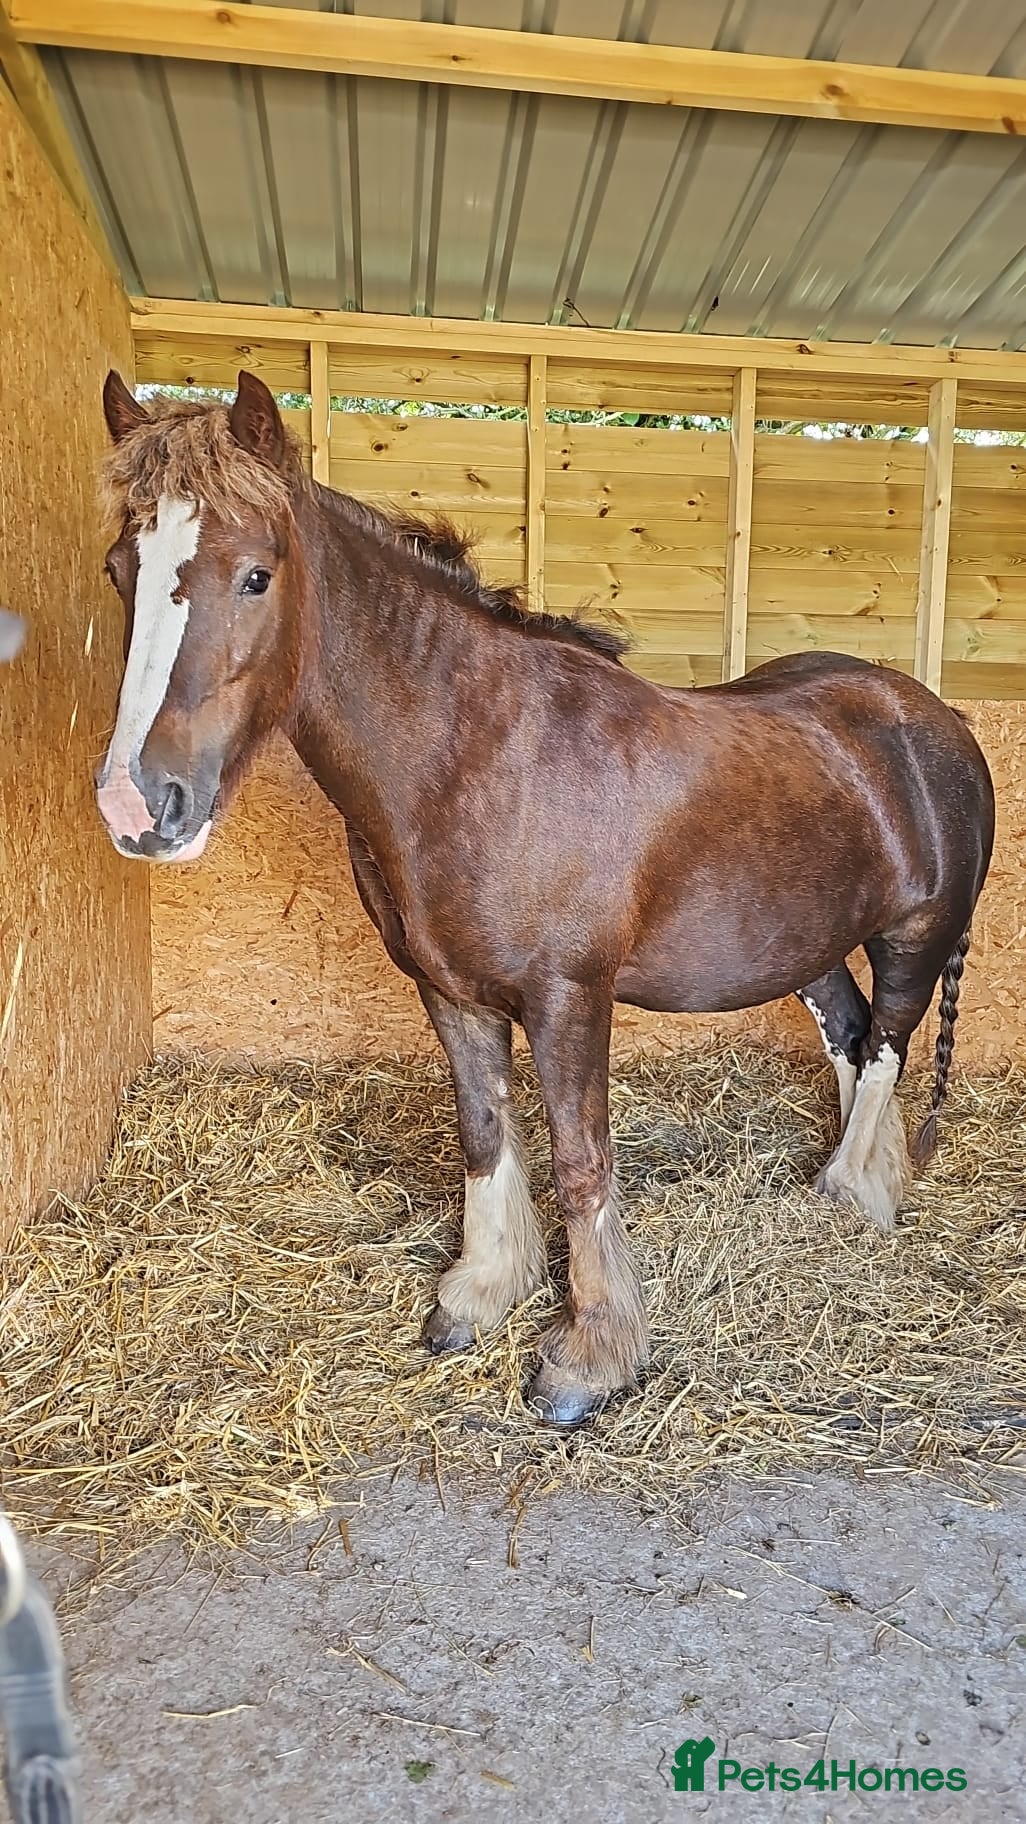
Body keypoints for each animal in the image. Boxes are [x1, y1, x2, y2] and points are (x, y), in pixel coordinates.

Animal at [94, 370, 995, 1428]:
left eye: (255, 576)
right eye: (120, 569)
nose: (138, 806)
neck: (475, 755)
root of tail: (936, 719)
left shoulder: (568, 998)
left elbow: (579, 1160)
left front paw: (589, 1359)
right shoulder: (446, 989)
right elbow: (485, 1134)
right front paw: (479, 1296)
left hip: (912, 942)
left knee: (888, 1047)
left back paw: (857, 1194)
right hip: (806, 950)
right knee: (851, 1039)